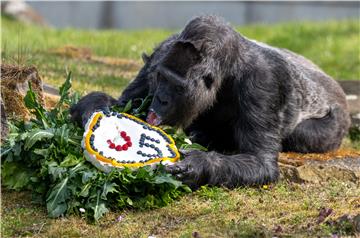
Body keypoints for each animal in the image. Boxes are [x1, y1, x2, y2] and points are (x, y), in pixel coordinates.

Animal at [71, 15, 352, 190]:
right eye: (160, 77)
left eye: (176, 86)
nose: (160, 99)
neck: (229, 69)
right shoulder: (161, 52)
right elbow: (122, 103)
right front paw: (97, 112)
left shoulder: (263, 82)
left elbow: (259, 161)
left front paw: (199, 166)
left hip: (337, 124)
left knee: (301, 135)